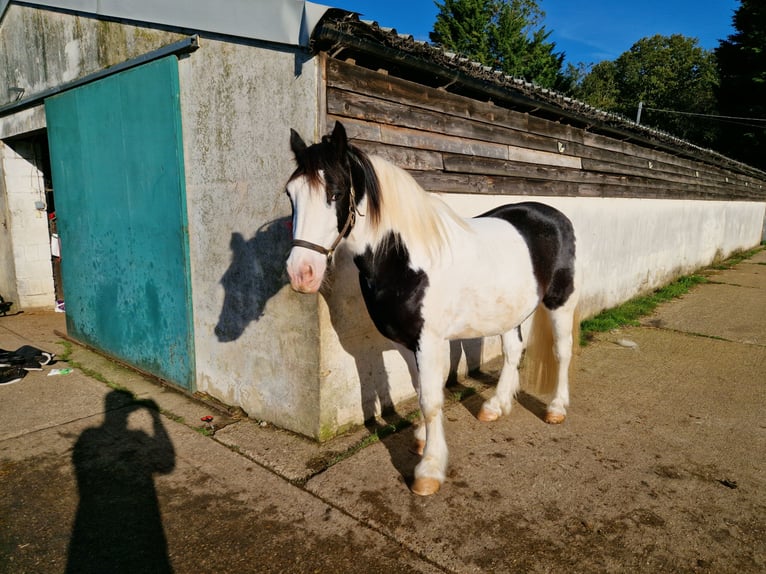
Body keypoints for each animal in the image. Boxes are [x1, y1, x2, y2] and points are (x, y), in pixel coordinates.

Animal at [286, 124, 584, 498]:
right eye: (290, 194)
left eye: (336, 192)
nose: (301, 273)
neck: (405, 258)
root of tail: (555, 215)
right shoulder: (404, 341)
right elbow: (420, 390)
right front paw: (421, 439)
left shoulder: (427, 340)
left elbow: (430, 400)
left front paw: (429, 469)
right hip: (509, 311)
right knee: (513, 351)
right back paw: (496, 406)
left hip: (560, 301)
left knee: (562, 351)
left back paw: (556, 408)